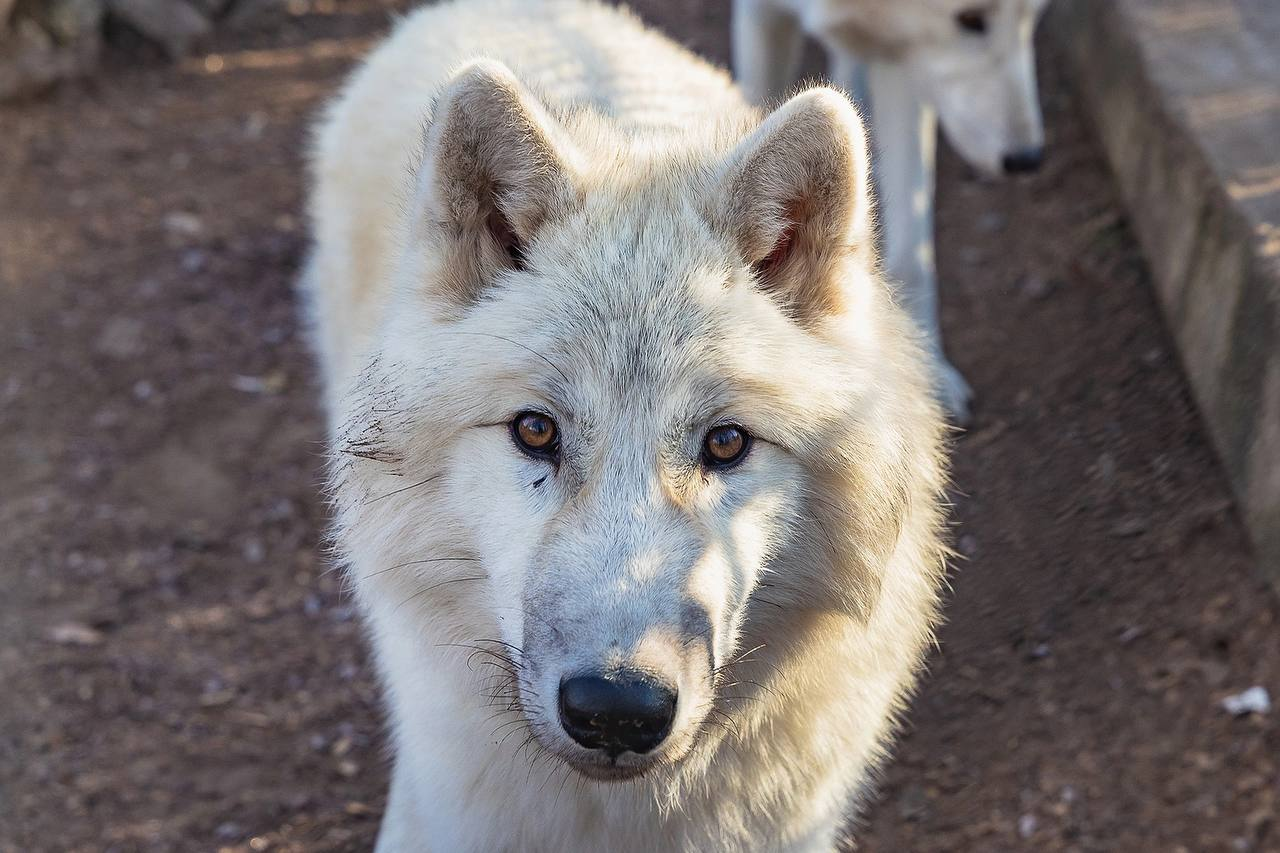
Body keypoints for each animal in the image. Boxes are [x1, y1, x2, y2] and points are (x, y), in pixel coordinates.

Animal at [732, 0, 1049, 422]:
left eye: (1035, 18)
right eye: (969, 18)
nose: (1027, 159)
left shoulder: (904, 57)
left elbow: (912, 256)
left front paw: (922, 377)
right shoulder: (761, 17)